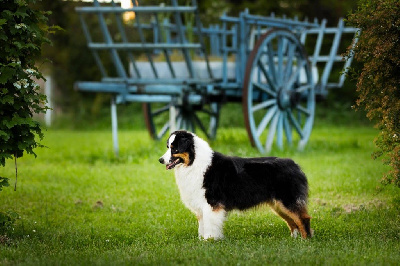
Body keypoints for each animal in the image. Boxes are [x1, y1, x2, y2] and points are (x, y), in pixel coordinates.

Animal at [159, 130, 312, 240]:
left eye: (175, 149)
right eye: (168, 147)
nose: (160, 160)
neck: (194, 162)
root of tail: (295, 165)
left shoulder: (211, 203)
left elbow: (210, 224)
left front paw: (210, 241)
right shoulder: (201, 204)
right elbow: (202, 225)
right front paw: (201, 240)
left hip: (287, 200)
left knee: (302, 218)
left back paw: (305, 241)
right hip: (278, 205)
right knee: (292, 221)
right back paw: (294, 239)